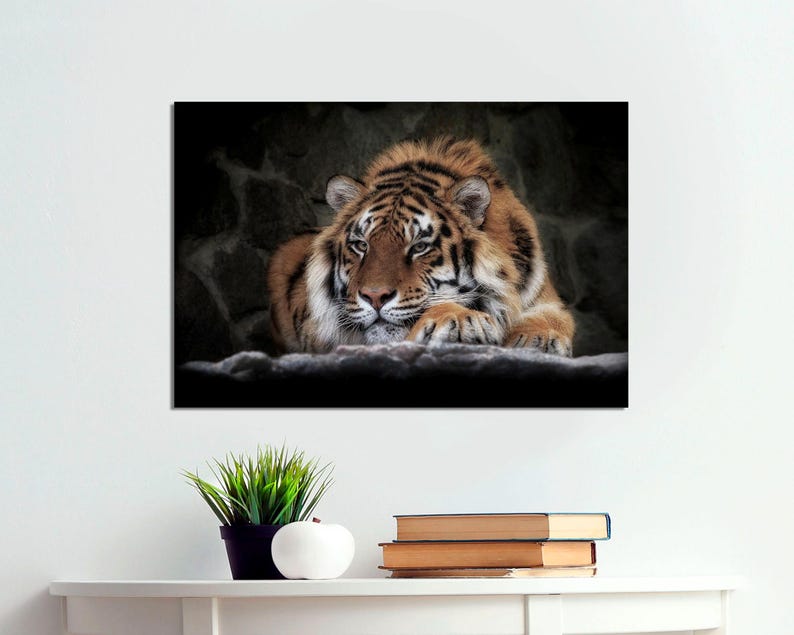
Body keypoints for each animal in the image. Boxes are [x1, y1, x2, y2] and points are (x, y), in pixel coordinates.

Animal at [267, 136, 575, 356]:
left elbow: (553, 319)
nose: (374, 297)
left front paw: (538, 338)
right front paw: (461, 319)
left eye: (419, 247)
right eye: (361, 245)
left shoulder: (545, 299)